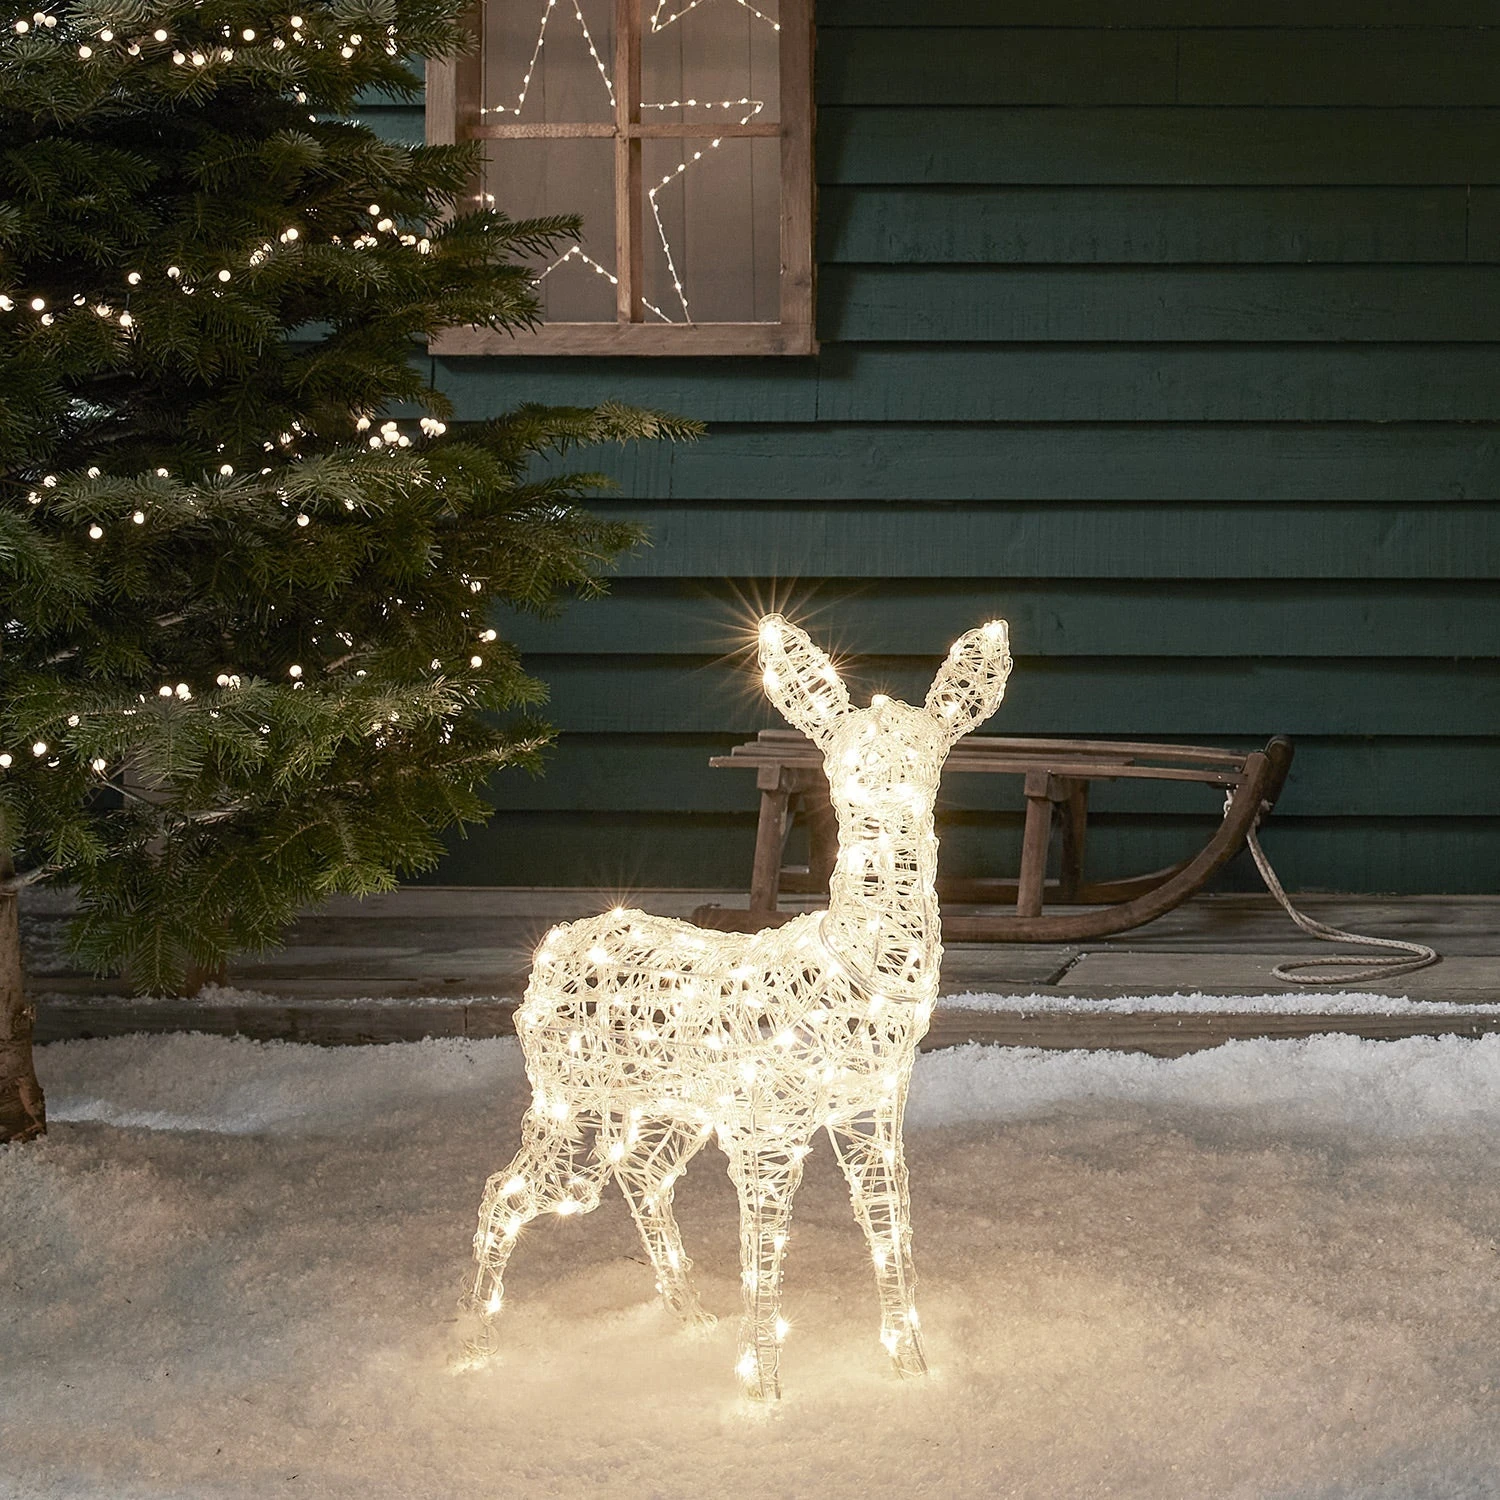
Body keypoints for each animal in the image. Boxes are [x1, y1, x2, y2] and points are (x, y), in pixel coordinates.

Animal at [462, 613, 1013, 1400]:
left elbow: (886, 1222)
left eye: (927, 749)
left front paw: (913, 1372)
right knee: (507, 1193)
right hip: (569, 1095)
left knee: (641, 1174)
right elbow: (764, 1241)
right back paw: (471, 1351)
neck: (854, 971)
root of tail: (556, 948)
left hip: (665, 1102)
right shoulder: (768, 1119)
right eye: (842, 758)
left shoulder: (871, 1106)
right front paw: (763, 1396)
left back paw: (690, 1317)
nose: (883, 792)